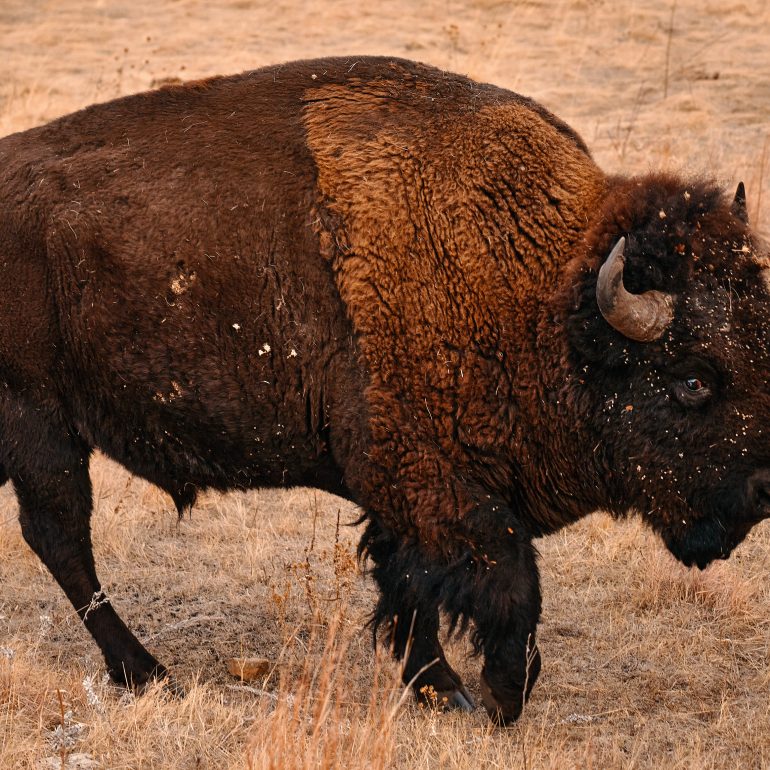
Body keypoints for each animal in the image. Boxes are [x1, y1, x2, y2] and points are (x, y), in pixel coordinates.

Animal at [1, 56, 768, 724]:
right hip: (41, 425)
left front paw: (439, 688)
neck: (540, 295)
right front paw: (496, 696)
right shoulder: (430, 481)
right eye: (694, 378)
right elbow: (508, 578)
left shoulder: (405, 495)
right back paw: (147, 672)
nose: (764, 489)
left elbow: (409, 585)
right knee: (62, 540)